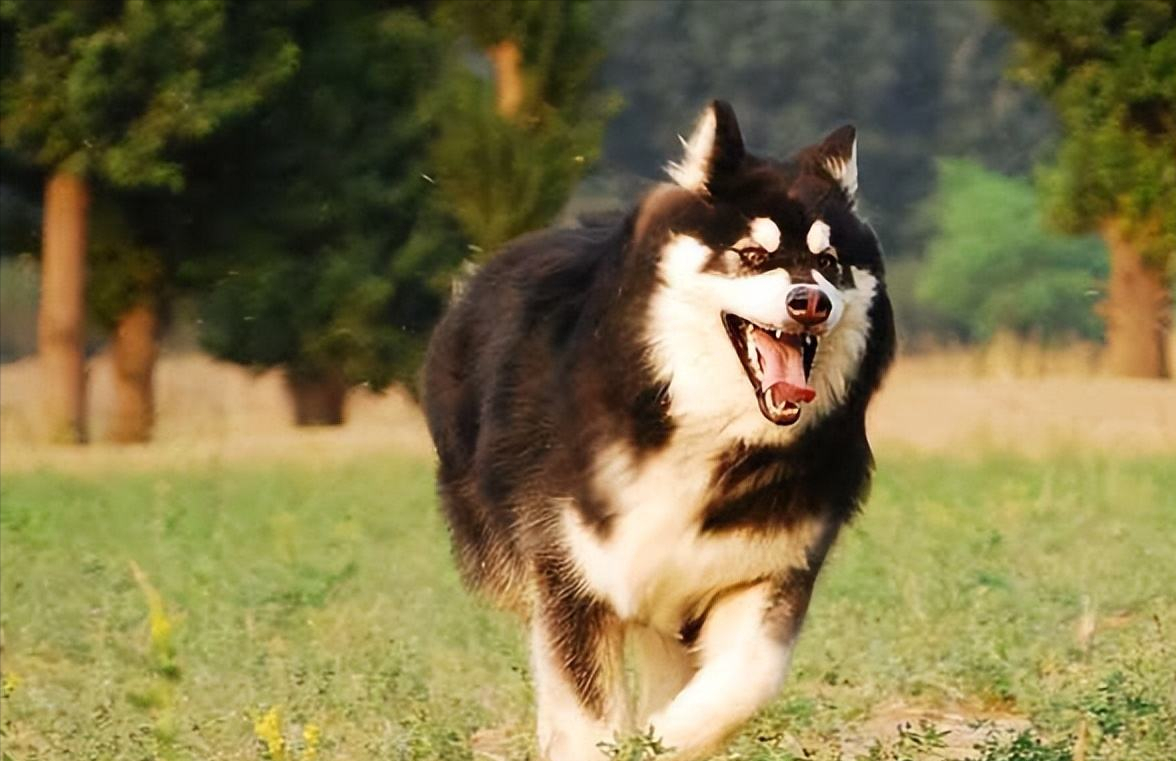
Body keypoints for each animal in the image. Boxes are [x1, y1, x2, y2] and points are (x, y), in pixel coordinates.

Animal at [423, 102, 889, 761]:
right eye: (752, 255)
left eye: (829, 264)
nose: (810, 303)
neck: (697, 425)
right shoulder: (575, 573)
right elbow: (585, 715)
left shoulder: (762, 568)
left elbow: (746, 682)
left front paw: (659, 739)